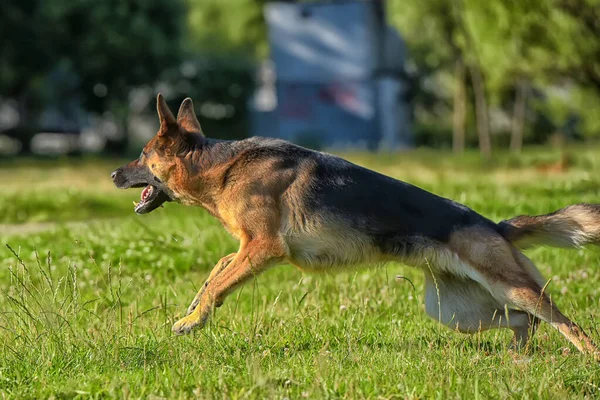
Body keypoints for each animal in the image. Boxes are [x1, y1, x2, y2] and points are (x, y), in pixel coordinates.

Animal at [113, 95, 600, 358]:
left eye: (141, 155)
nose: (114, 174)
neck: (219, 166)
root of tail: (495, 226)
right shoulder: (247, 248)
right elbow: (217, 268)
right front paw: (192, 308)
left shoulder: (264, 248)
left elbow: (219, 283)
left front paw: (193, 320)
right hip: (457, 311)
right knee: (524, 322)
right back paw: (518, 359)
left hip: (508, 288)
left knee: (566, 325)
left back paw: (582, 357)